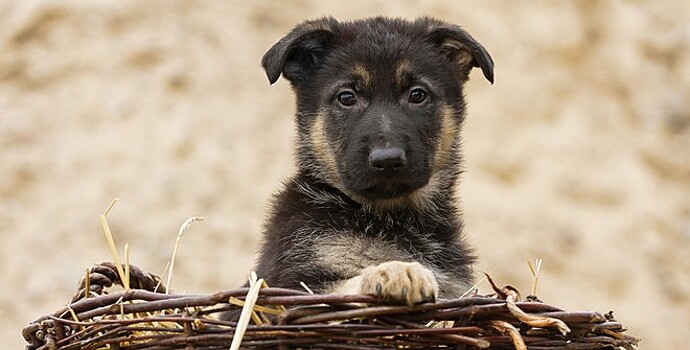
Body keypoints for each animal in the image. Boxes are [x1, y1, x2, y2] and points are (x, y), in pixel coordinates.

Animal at [255, 17, 492, 306]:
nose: (388, 160)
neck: (393, 218)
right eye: (346, 97)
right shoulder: (288, 284)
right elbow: (341, 285)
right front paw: (397, 271)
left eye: (417, 95)